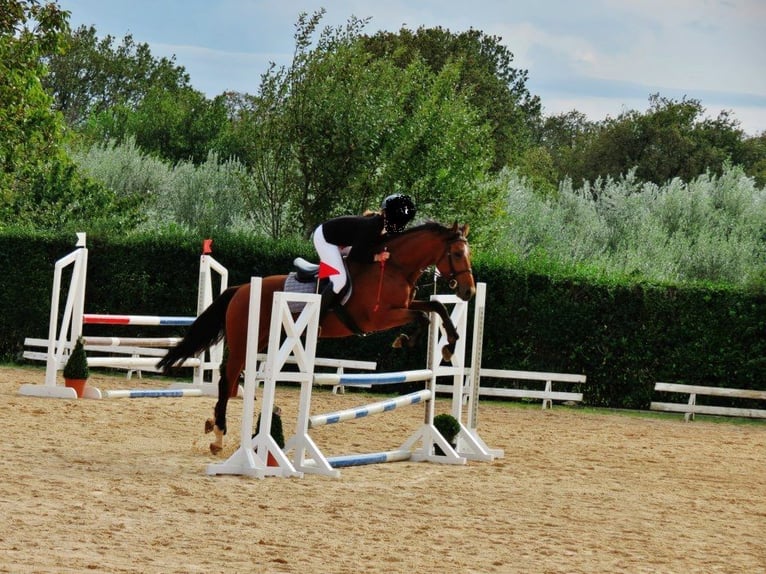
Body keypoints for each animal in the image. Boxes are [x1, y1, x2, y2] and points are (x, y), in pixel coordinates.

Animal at [159, 220, 476, 454]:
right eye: (458, 254)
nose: (468, 292)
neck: (393, 267)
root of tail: (241, 289)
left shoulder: (407, 304)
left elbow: (436, 308)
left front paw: (449, 346)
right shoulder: (379, 317)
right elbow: (422, 317)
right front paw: (405, 341)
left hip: (259, 339)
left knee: (230, 377)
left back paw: (213, 424)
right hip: (243, 340)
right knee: (228, 378)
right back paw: (219, 435)